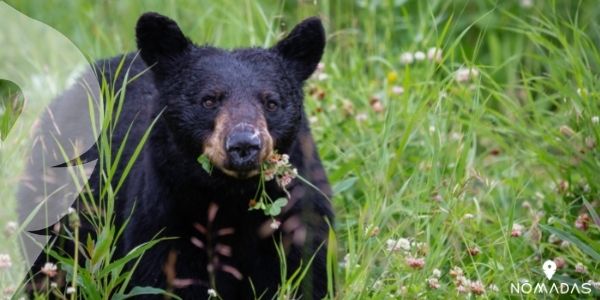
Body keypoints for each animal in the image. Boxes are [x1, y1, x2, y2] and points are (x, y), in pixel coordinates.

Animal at [19, 11, 332, 300]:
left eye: (271, 102)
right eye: (209, 100)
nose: (244, 144)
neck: (231, 198)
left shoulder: (299, 217)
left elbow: (305, 276)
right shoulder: (164, 218)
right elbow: (165, 279)